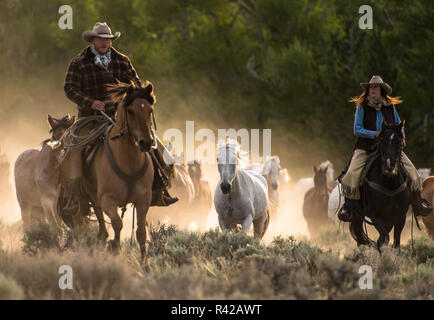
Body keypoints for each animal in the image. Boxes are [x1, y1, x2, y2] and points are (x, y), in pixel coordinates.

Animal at [350, 122, 410, 250]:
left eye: (399, 141)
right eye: (382, 140)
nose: (389, 165)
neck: (390, 184)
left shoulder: (401, 216)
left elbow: (396, 243)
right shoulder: (375, 216)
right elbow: (384, 239)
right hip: (357, 216)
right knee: (360, 238)